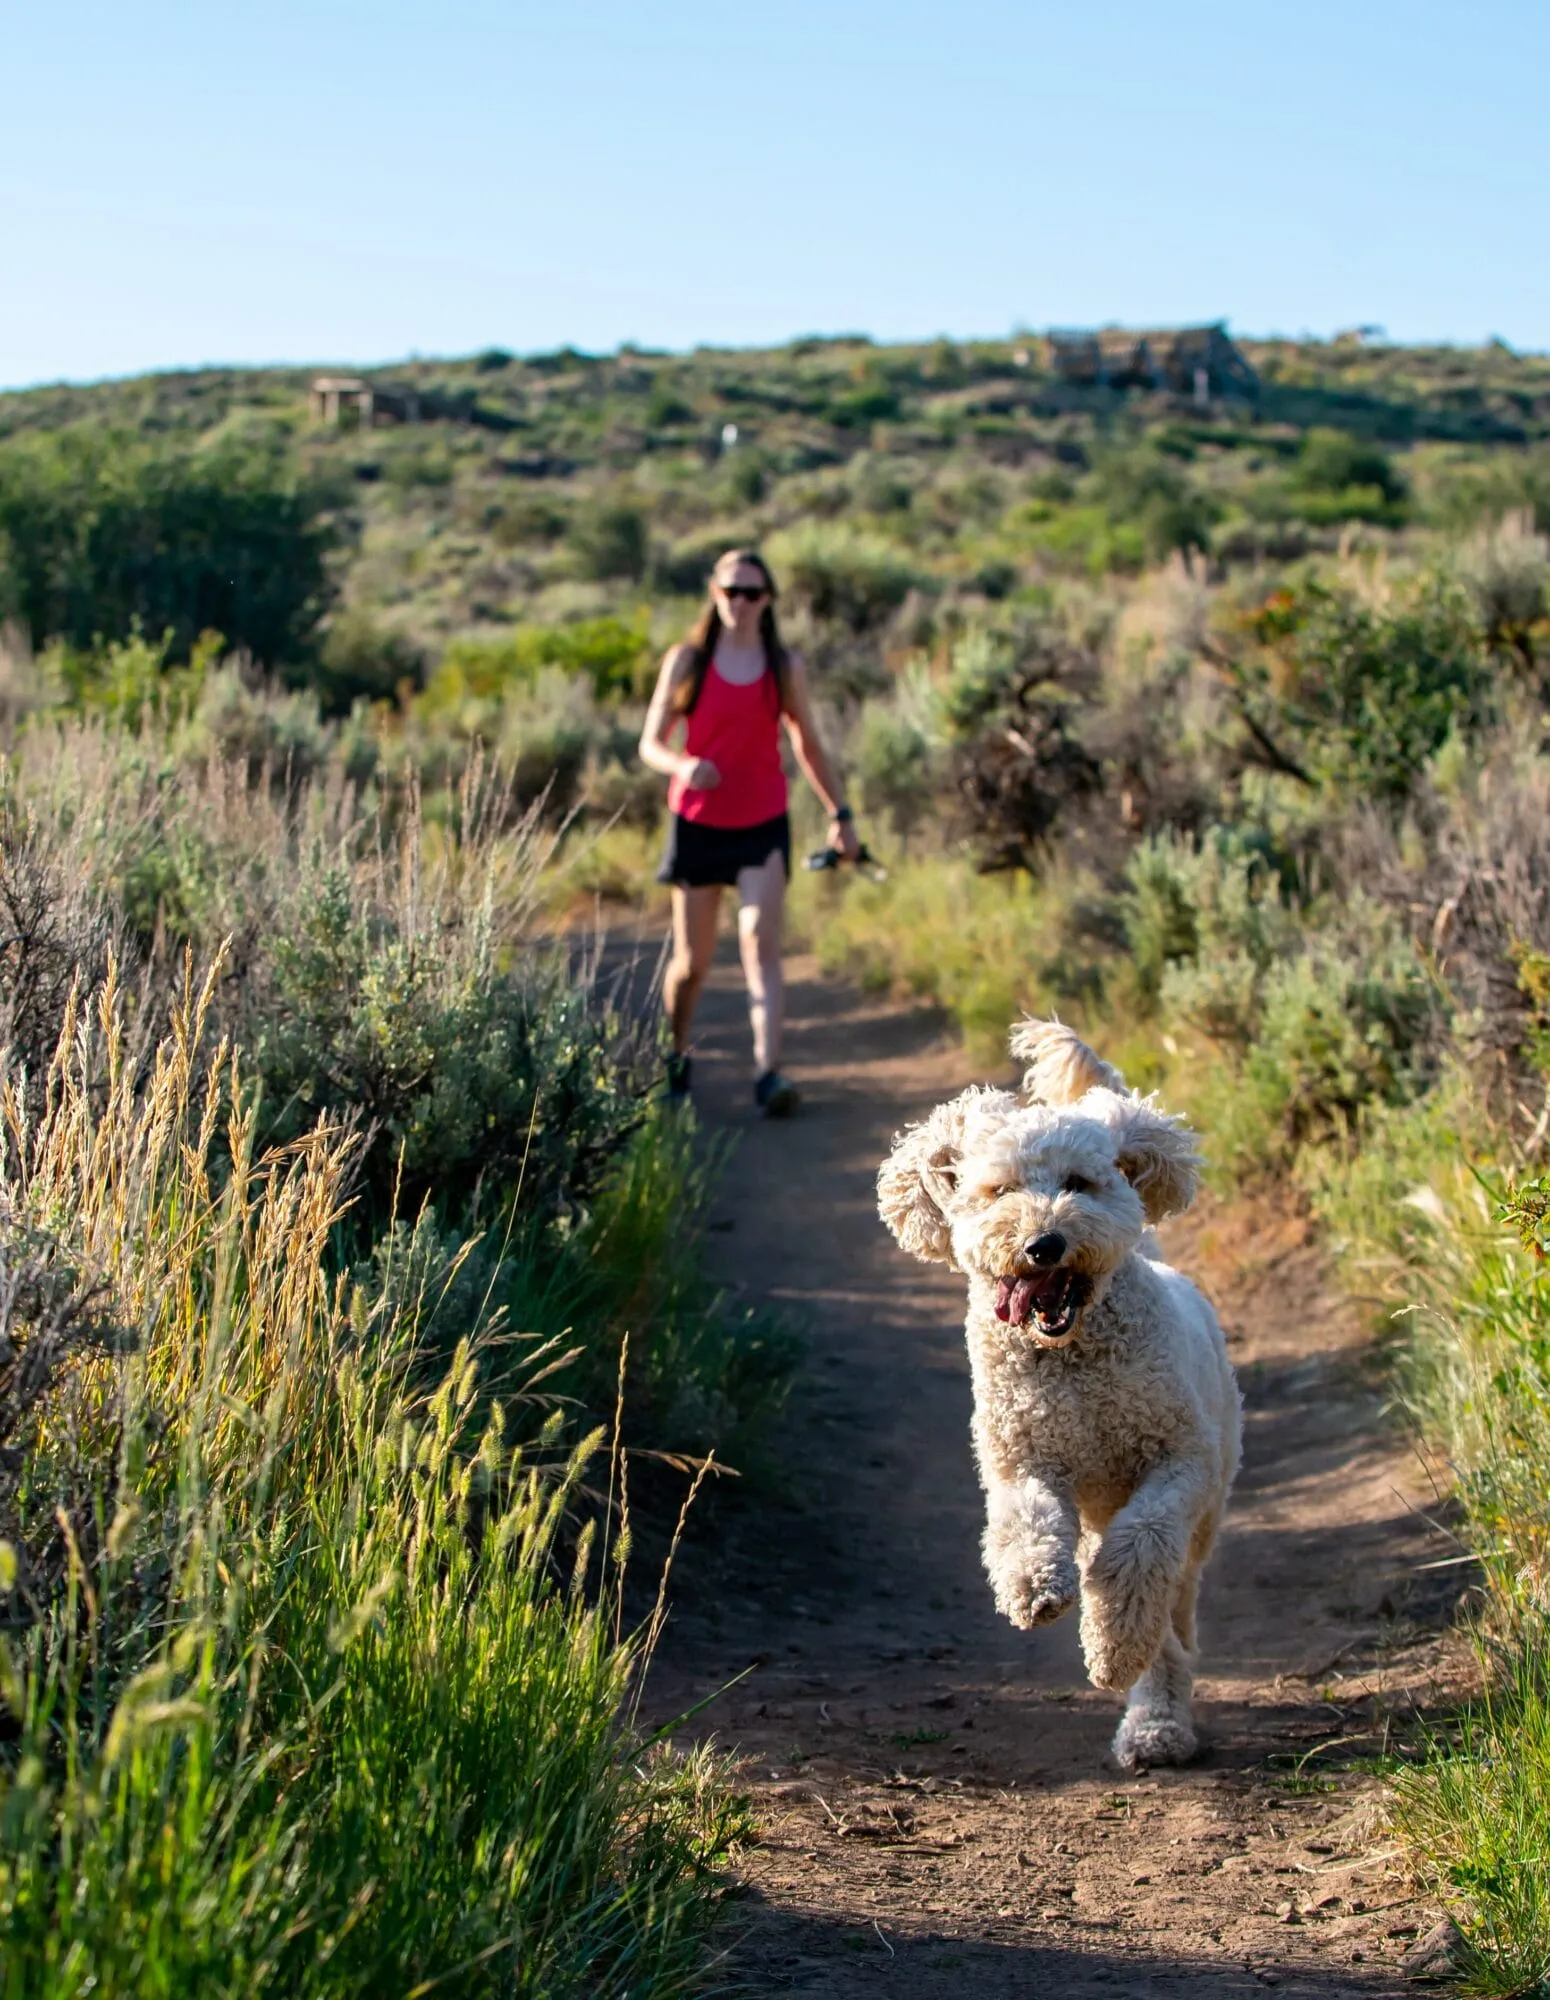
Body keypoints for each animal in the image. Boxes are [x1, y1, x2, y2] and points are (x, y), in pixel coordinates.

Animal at [880, 1024, 1240, 1776]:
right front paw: (1033, 1589)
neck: (1073, 1360)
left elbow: (1140, 1551)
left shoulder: (1179, 1464)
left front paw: (1113, 1644)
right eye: (999, 1190)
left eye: (1079, 1183)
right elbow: (1025, 1522)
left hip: (1204, 1509)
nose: (1044, 1243)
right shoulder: (1022, 1460)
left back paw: (1156, 1720)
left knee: (1172, 1613)